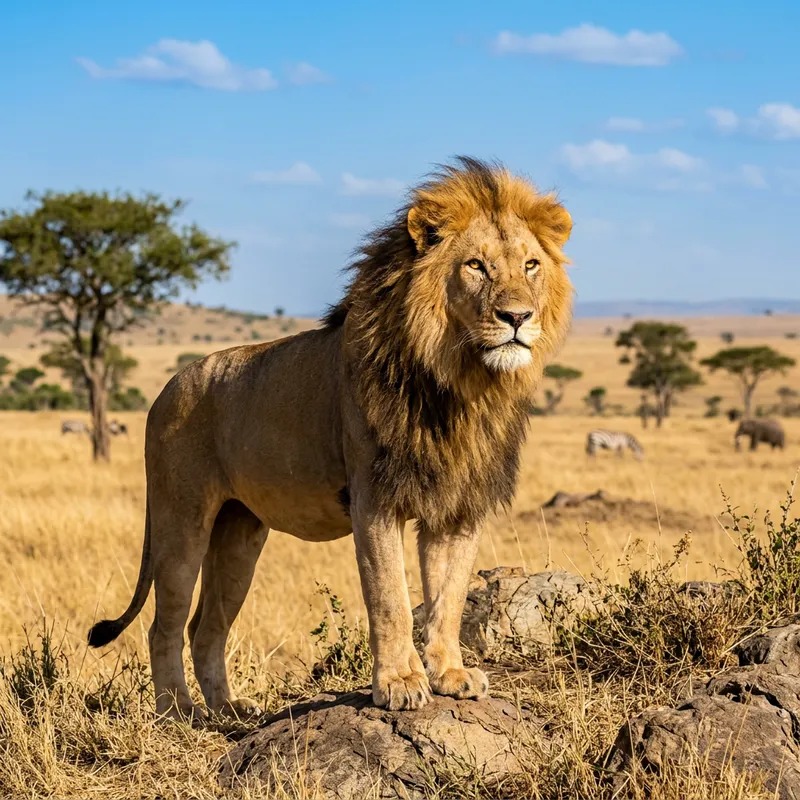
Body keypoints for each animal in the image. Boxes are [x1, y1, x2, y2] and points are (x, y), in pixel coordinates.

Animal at [88, 156, 574, 720]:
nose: (517, 317)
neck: (460, 385)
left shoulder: (458, 507)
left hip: (238, 535)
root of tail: (164, 390)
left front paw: (450, 676)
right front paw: (400, 684)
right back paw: (180, 713)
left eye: (531, 265)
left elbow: (448, 599)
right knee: (164, 626)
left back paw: (230, 711)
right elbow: (390, 598)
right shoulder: (375, 499)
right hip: (180, 520)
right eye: (476, 265)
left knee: (205, 627)